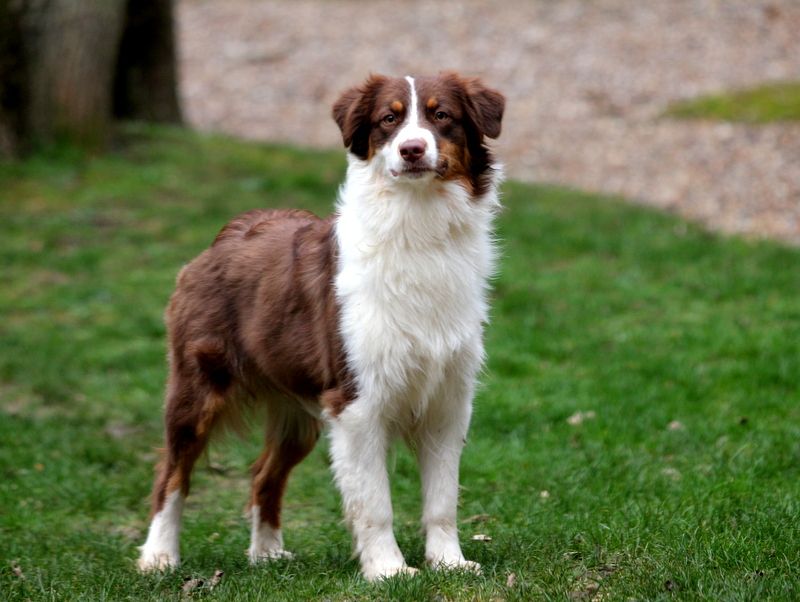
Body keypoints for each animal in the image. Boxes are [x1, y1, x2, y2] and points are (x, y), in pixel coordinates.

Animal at [137, 72, 504, 581]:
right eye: (388, 119)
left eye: (441, 115)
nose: (412, 149)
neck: (417, 224)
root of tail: (225, 236)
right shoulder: (356, 402)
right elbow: (375, 504)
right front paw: (388, 571)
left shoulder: (448, 400)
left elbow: (442, 500)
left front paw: (449, 563)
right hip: (198, 390)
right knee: (170, 474)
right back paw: (158, 556)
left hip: (297, 411)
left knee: (264, 474)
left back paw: (267, 554)